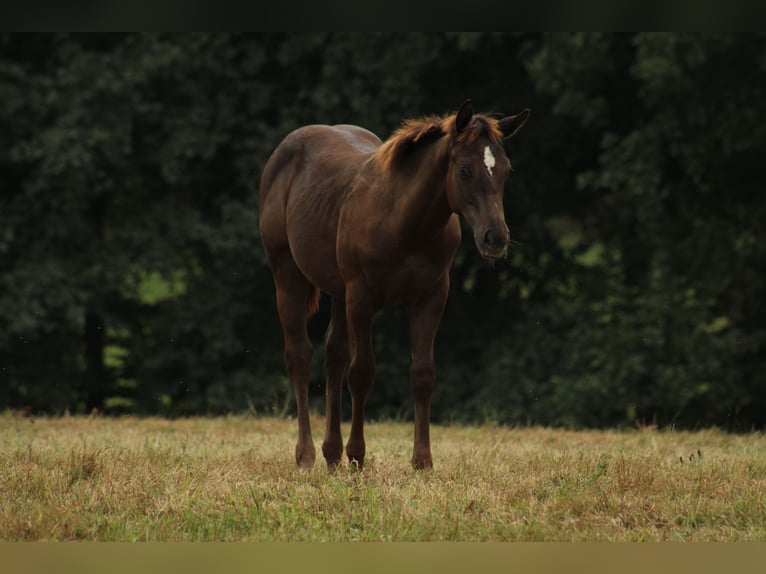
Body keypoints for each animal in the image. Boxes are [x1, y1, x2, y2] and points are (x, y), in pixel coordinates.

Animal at [258, 101, 528, 472]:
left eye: (505, 170)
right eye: (464, 170)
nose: (496, 238)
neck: (405, 222)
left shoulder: (431, 297)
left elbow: (423, 374)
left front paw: (423, 461)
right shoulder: (361, 298)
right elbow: (362, 373)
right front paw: (358, 456)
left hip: (338, 291)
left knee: (334, 356)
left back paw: (331, 454)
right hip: (288, 274)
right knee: (300, 355)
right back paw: (307, 455)